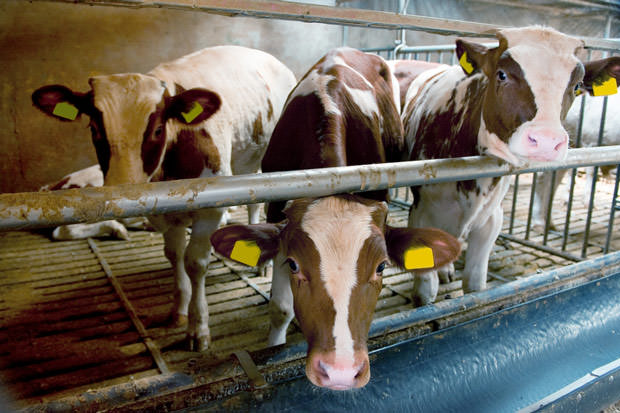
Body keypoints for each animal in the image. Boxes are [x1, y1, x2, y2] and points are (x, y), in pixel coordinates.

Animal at [31, 47, 298, 350]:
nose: (122, 195)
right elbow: (174, 255)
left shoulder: (208, 212)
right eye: (95, 129)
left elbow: (195, 262)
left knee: (257, 198)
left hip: (260, 157)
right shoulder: (162, 212)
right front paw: (178, 311)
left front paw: (198, 327)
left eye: (158, 130)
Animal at [402, 24, 620, 304]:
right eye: (502, 74)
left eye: (577, 86)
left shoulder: (492, 219)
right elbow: (425, 293)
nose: (547, 140)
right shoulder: (421, 213)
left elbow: (475, 286)